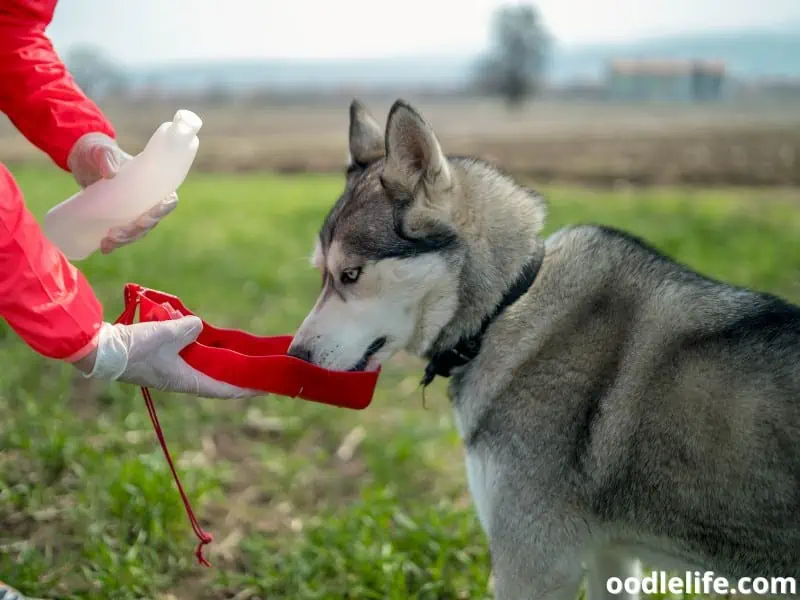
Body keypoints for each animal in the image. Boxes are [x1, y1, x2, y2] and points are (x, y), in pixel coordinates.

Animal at [284, 99, 796, 600]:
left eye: (351, 274)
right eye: (321, 274)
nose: (295, 357)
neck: (502, 307)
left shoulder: (533, 566)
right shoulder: (610, 556)